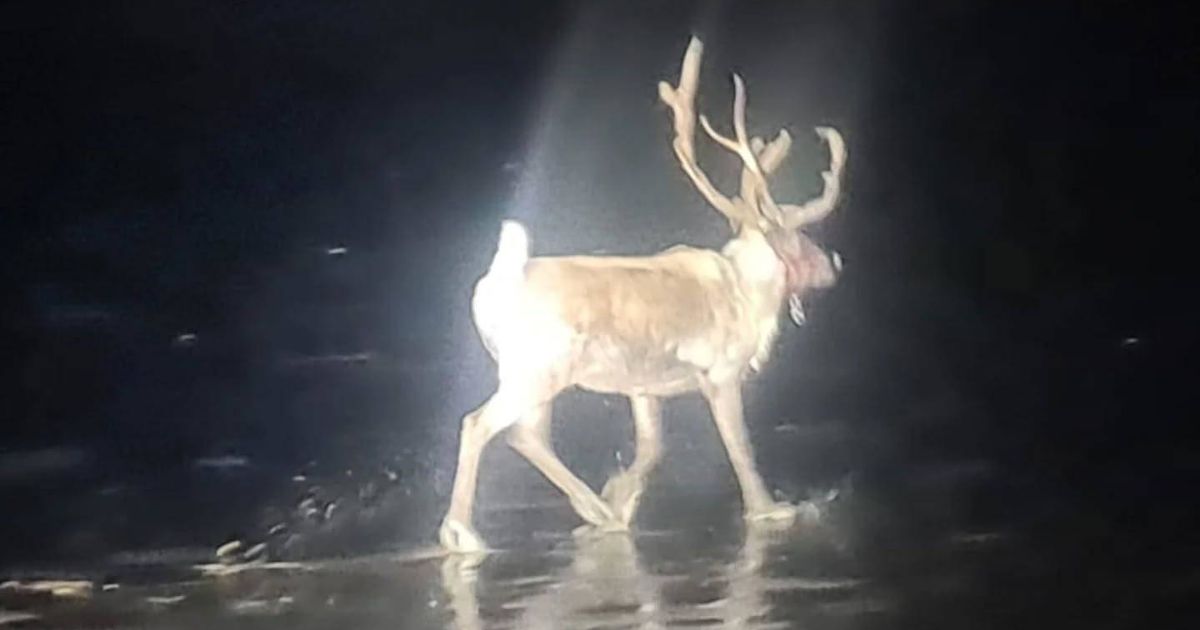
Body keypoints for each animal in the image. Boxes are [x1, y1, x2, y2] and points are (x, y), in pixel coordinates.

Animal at [438, 36, 847, 553]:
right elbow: (740, 446)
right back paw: (463, 532)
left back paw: (596, 509)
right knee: (482, 424)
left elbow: (653, 448)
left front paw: (621, 494)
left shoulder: (643, 386)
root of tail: (493, 286)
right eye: (802, 237)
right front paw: (770, 508)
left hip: (533, 374)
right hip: (538, 370)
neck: (749, 293)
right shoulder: (721, 373)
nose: (833, 265)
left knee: (526, 436)